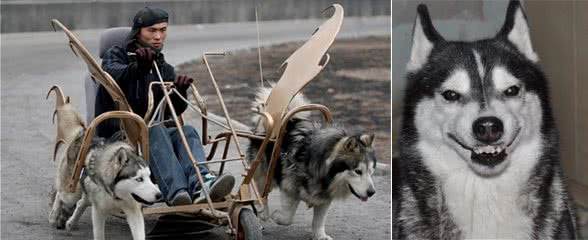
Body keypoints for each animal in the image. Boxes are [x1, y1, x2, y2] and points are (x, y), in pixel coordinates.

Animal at [47, 86, 162, 240]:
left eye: (149, 177)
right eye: (139, 179)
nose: (159, 195)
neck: (116, 194)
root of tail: (82, 134)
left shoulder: (134, 212)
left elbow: (139, 234)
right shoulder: (99, 211)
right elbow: (99, 234)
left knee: (81, 202)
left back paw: (71, 222)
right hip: (71, 193)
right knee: (61, 194)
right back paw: (54, 215)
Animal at [247, 87, 376, 240]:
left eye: (371, 172)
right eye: (358, 171)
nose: (372, 192)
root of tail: (289, 118)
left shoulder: (324, 196)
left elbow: (318, 220)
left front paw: (320, 235)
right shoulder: (290, 187)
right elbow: (287, 217)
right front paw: (276, 216)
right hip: (266, 172)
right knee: (260, 190)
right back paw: (263, 212)